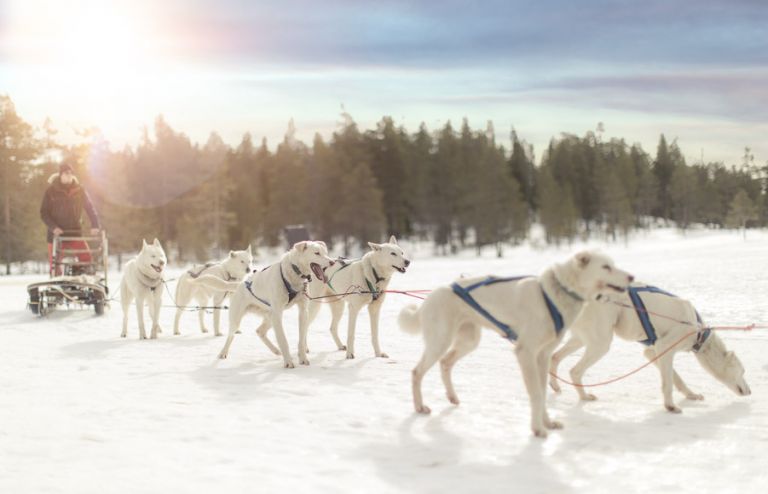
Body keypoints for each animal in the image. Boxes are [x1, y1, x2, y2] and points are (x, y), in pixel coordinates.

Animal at [188, 241, 332, 368]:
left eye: (326, 253)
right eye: (317, 253)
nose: (332, 262)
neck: (292, 274)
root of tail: (240, 284)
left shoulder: (303, 311)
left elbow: (302, 339)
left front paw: (303, 358)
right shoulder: (278, 314)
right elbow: (283, 340)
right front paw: (288, 362)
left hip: (270, 317)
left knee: (259, 331)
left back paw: (275, 350)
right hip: (240, 319)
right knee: (231, 336)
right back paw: (223, 353)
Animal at [400, 251, 632, 436]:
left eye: (612, 264)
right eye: (606, 266)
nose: (631, 276)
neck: (554, 294)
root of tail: (433, 294)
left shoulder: (542, 356)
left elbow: (543, 392)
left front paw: (547, 423)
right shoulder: (526, 353)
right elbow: (536, 394)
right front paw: (538, 429)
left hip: (468, 341)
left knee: (446, 363)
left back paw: (452, 397)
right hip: (440, 342)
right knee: (416, 372)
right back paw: (420, 406)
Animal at [548, 282, 752, 412]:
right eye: (742, 371)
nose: (750, 391)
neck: (698, 332)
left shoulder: (652, 352)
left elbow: (677, 380)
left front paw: (690, 395)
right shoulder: (664, 348)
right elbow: (668, 383)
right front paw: (670, 407)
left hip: (582, 339)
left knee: (555, 357)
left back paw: (555, 385)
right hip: (601, 343)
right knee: (574, 370)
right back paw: (584, 396)